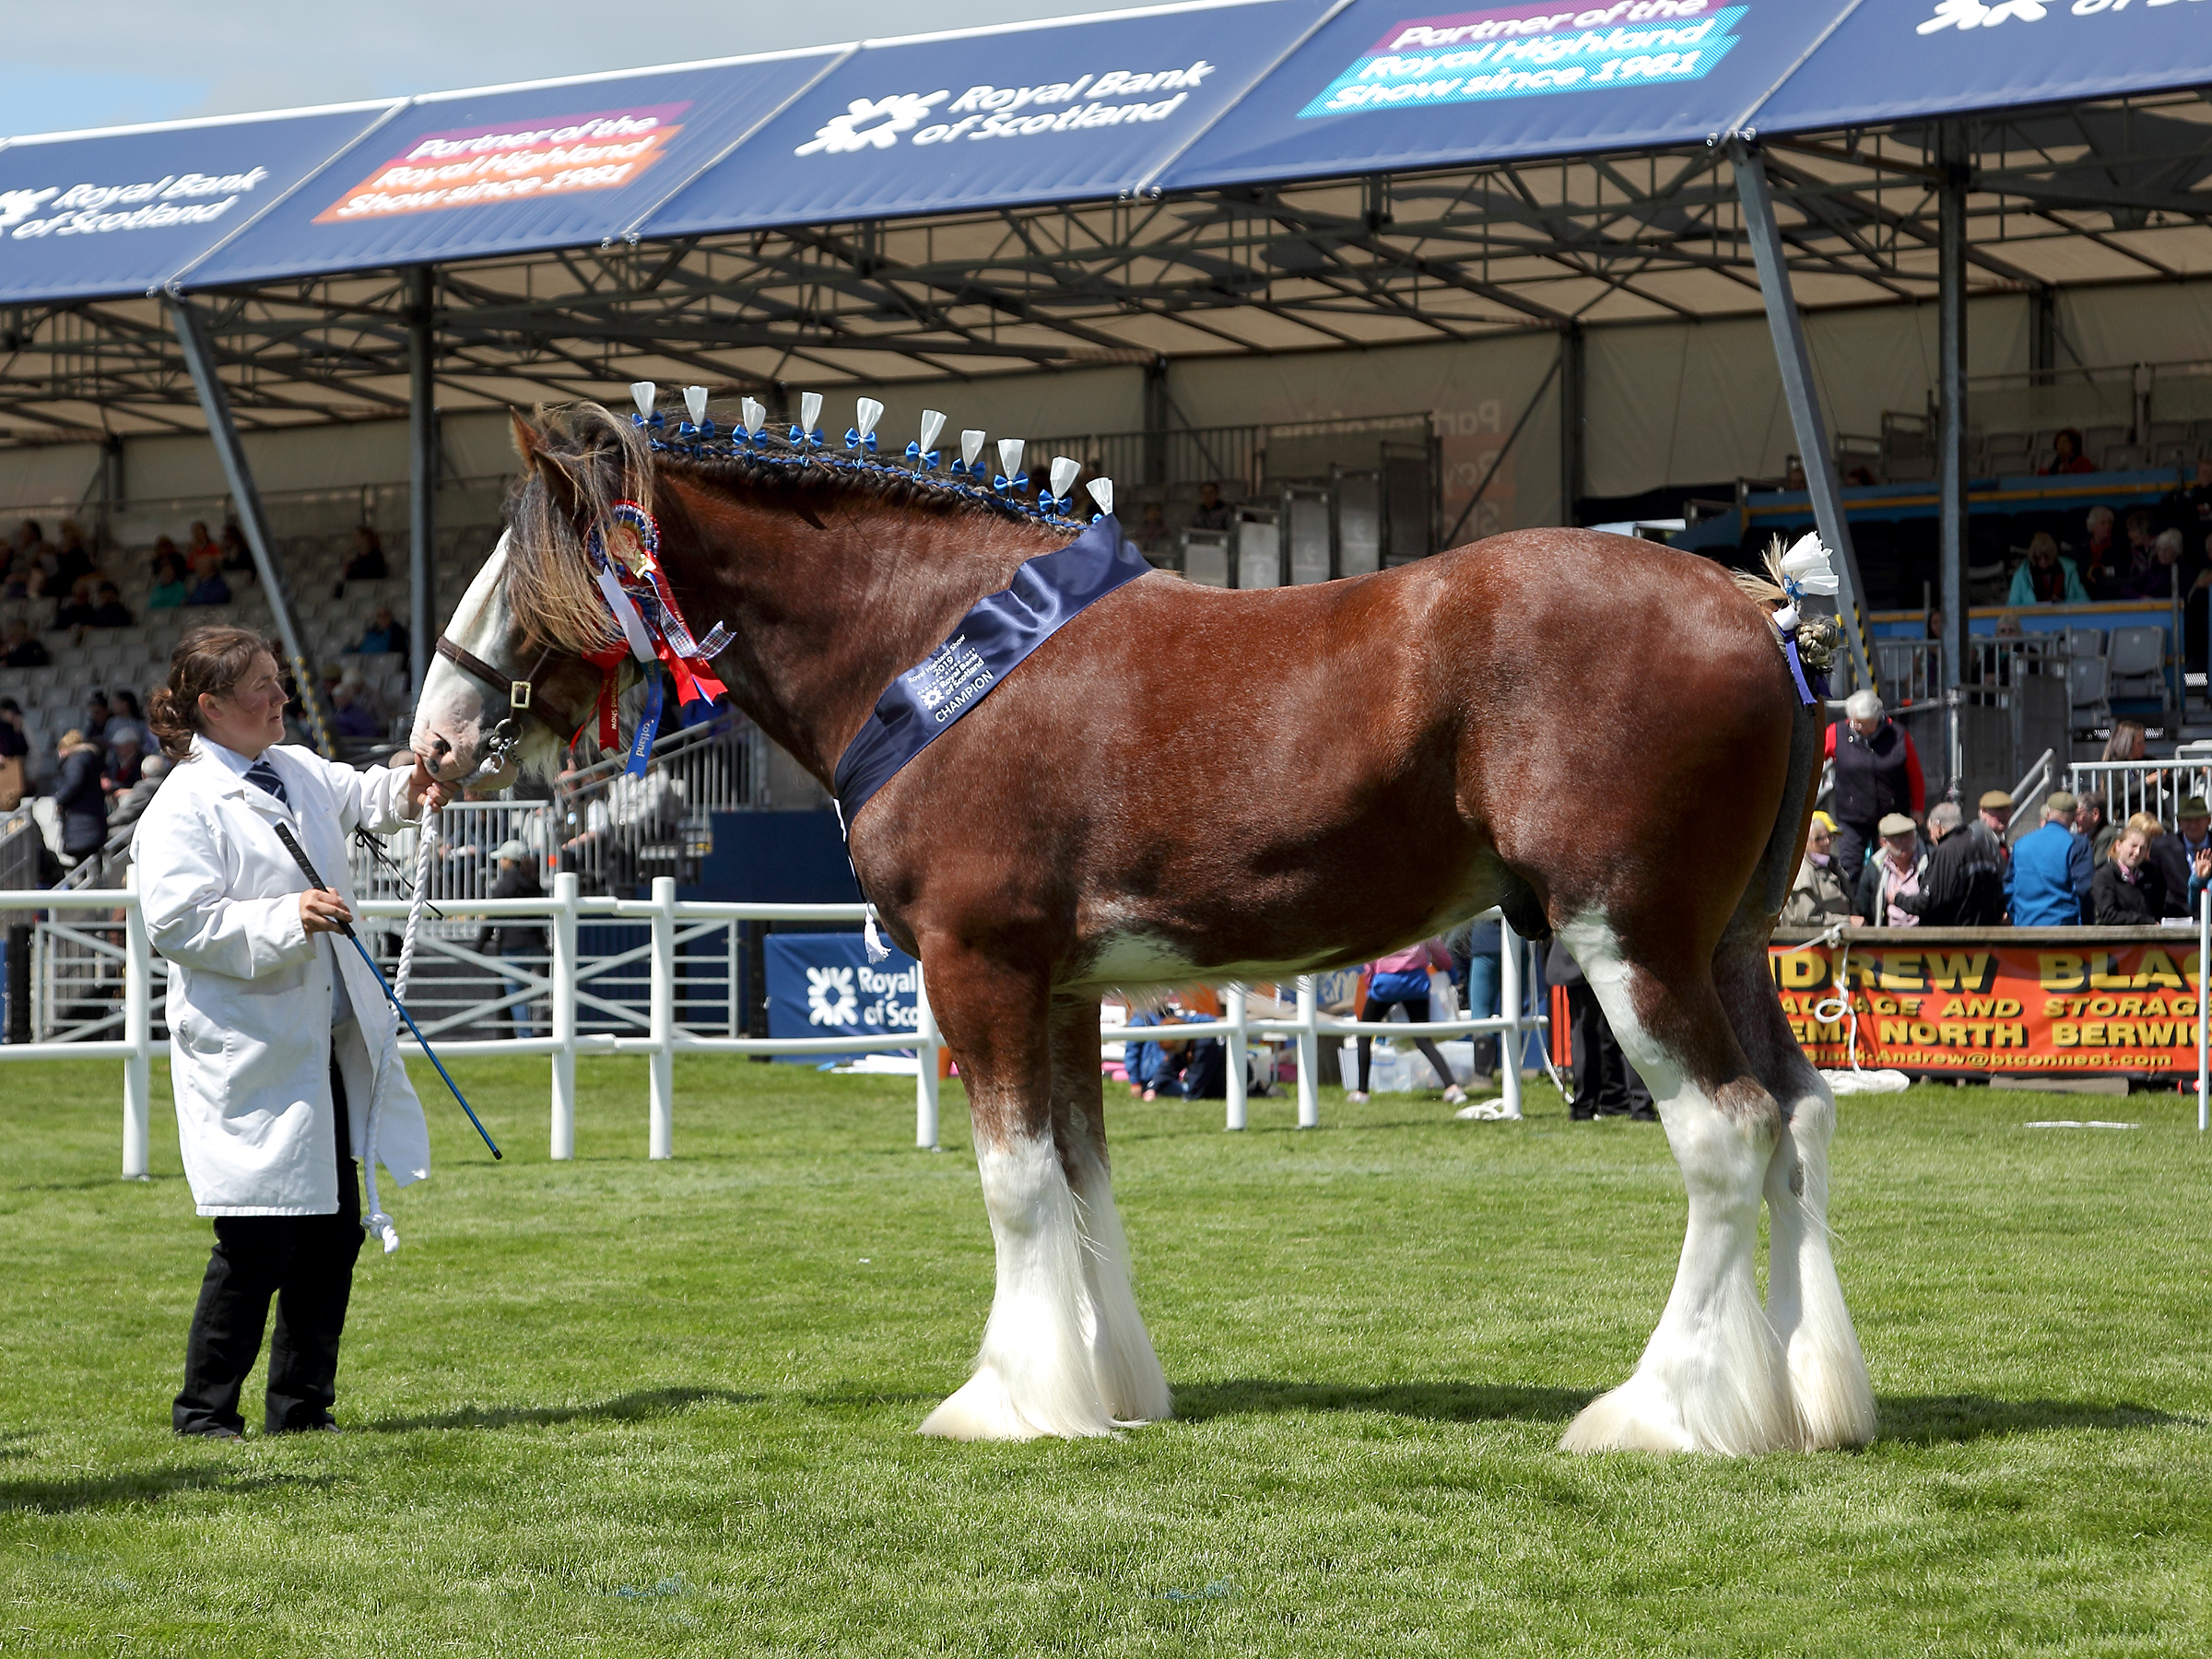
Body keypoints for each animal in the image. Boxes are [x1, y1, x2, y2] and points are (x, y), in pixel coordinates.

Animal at [411, 402, 1866, 1451]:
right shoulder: (1062, 987)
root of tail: (1759, 611)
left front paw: (1009, 1404)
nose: (430, 746)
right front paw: (1105, 1387)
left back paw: (1665, 1413)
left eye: (521, 573)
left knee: (1727, 1136)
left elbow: (1012, 1183)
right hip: (1728, 948)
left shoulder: (979, 967)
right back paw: (1813, 1404)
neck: (929, 639)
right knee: (1799, 1122)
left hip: (1629, 942)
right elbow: (1080, 1175)